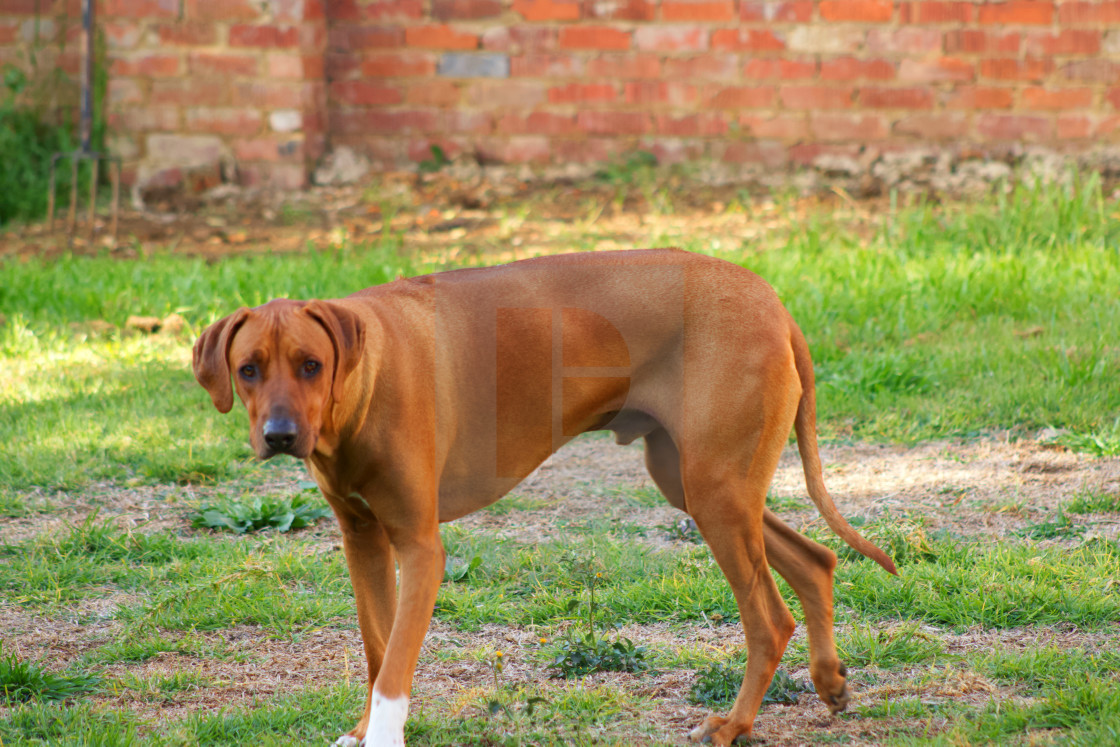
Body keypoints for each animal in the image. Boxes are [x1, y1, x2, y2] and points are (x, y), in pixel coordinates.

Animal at [192, 249, 891, 747]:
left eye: (310, 364)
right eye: (249, 369)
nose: (280, 435)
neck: (364, 383)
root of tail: (772, 301)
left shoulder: (420, 547)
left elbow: (394, 668)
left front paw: (383, 737)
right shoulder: (362, 540)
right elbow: (376, 652)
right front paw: (366, 730)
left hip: (717, 491)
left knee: (769, 619)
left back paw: (734, 726)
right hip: (700, 485)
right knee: (816, 561)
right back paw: (830, 682)